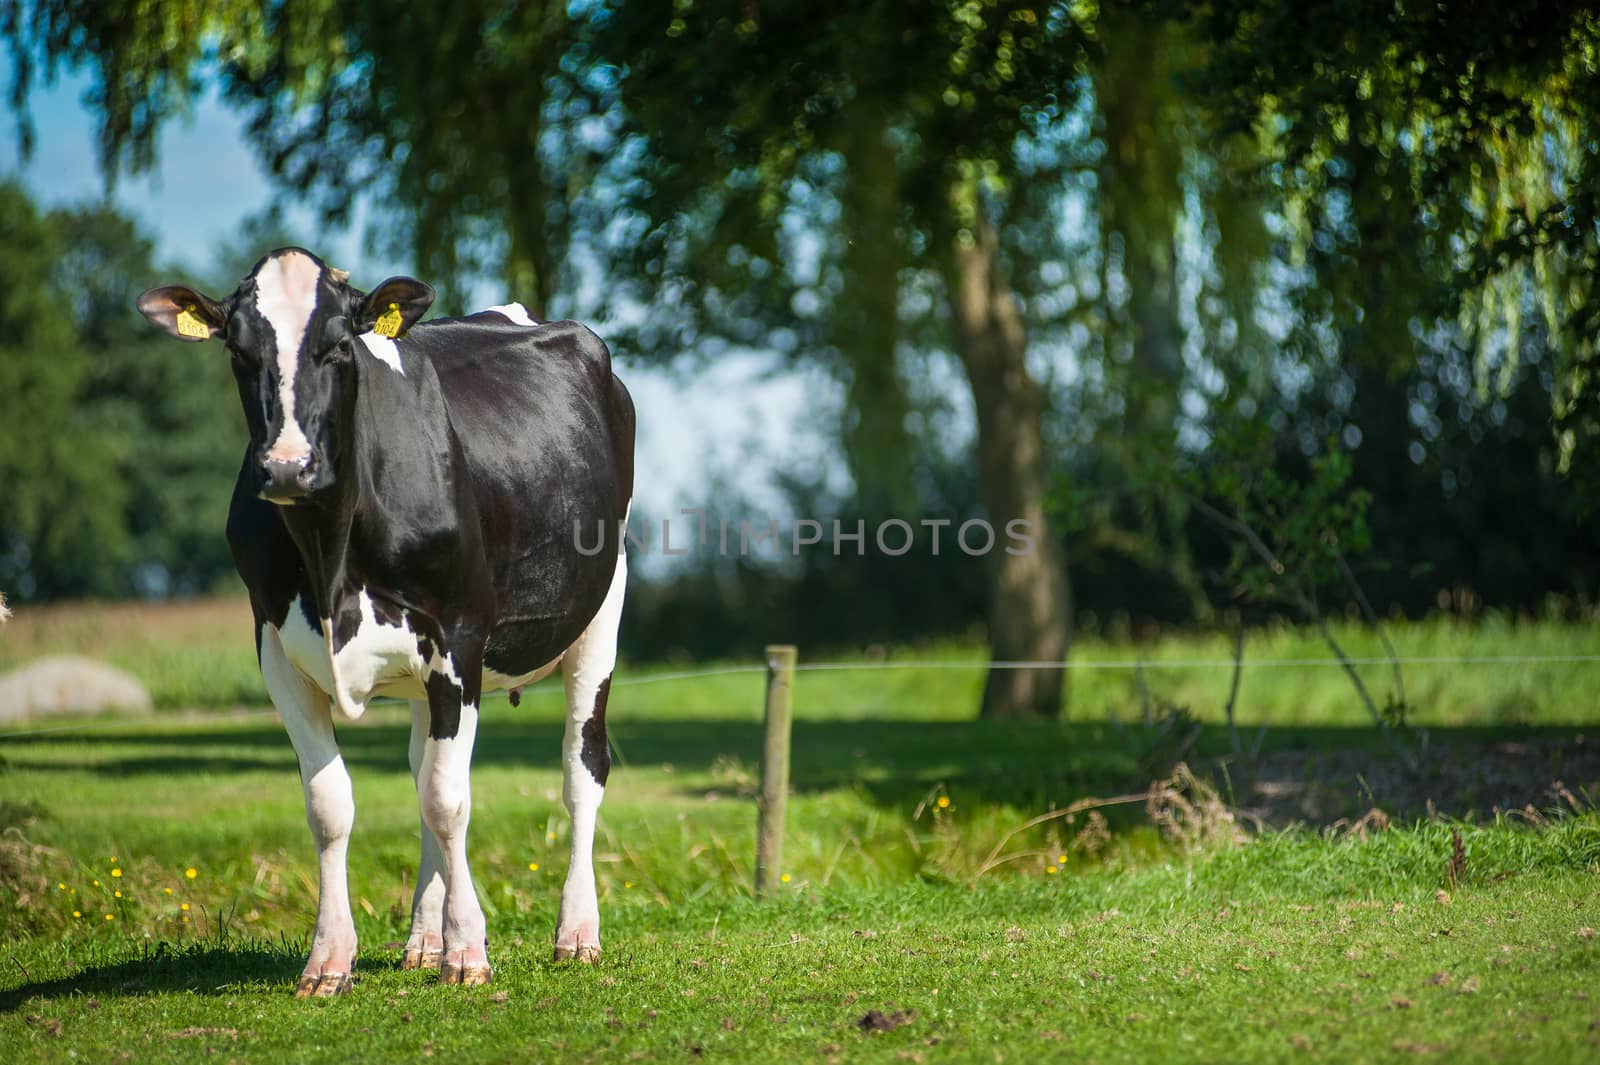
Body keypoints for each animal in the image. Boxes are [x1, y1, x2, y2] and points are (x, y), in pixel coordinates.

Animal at [137, 249, 633, 997]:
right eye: (239, 352)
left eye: (339, 345)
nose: (288, 467)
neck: (330, 555)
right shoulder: (275, 648)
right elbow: (333, 804)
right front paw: (330, 959)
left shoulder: (457, 639)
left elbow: (449, 800)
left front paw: (468, 951)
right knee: (423, 763)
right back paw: (422, 939)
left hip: (602, 610)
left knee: (581, 769)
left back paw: (576, 932)